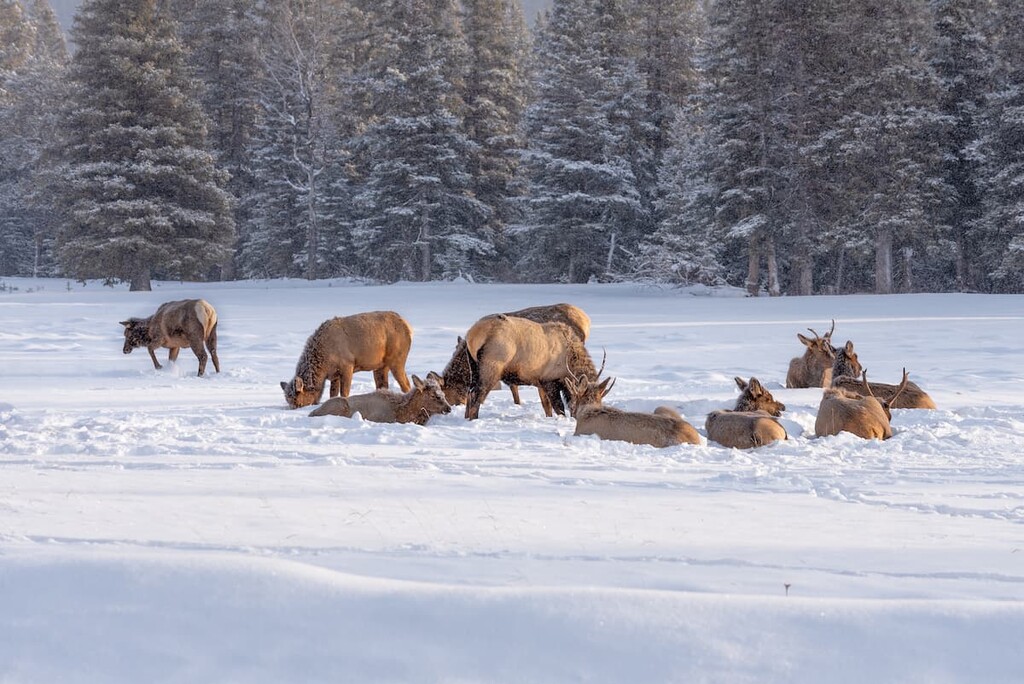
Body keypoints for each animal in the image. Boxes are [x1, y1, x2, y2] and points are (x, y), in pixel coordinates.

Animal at [281, 311, 413, 409]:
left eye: (297, 401)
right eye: (288, 400)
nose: (294, 408)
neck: (323, 368)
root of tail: (409, 328)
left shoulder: (347, 365)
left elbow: (344, 392)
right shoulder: (334, 374)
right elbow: (332, 394)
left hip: (397, 359)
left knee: (406, 384)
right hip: (380, 366)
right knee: (383, 385)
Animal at [462, 314, 598, 420]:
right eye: (586, 400)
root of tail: (471, 334)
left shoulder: (540, 382)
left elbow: (547, 407)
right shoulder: (549, 380)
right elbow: (559, 408)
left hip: (473, 366)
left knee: (469, 392)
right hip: (492, 365)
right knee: (477, 394)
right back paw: (474, 419)